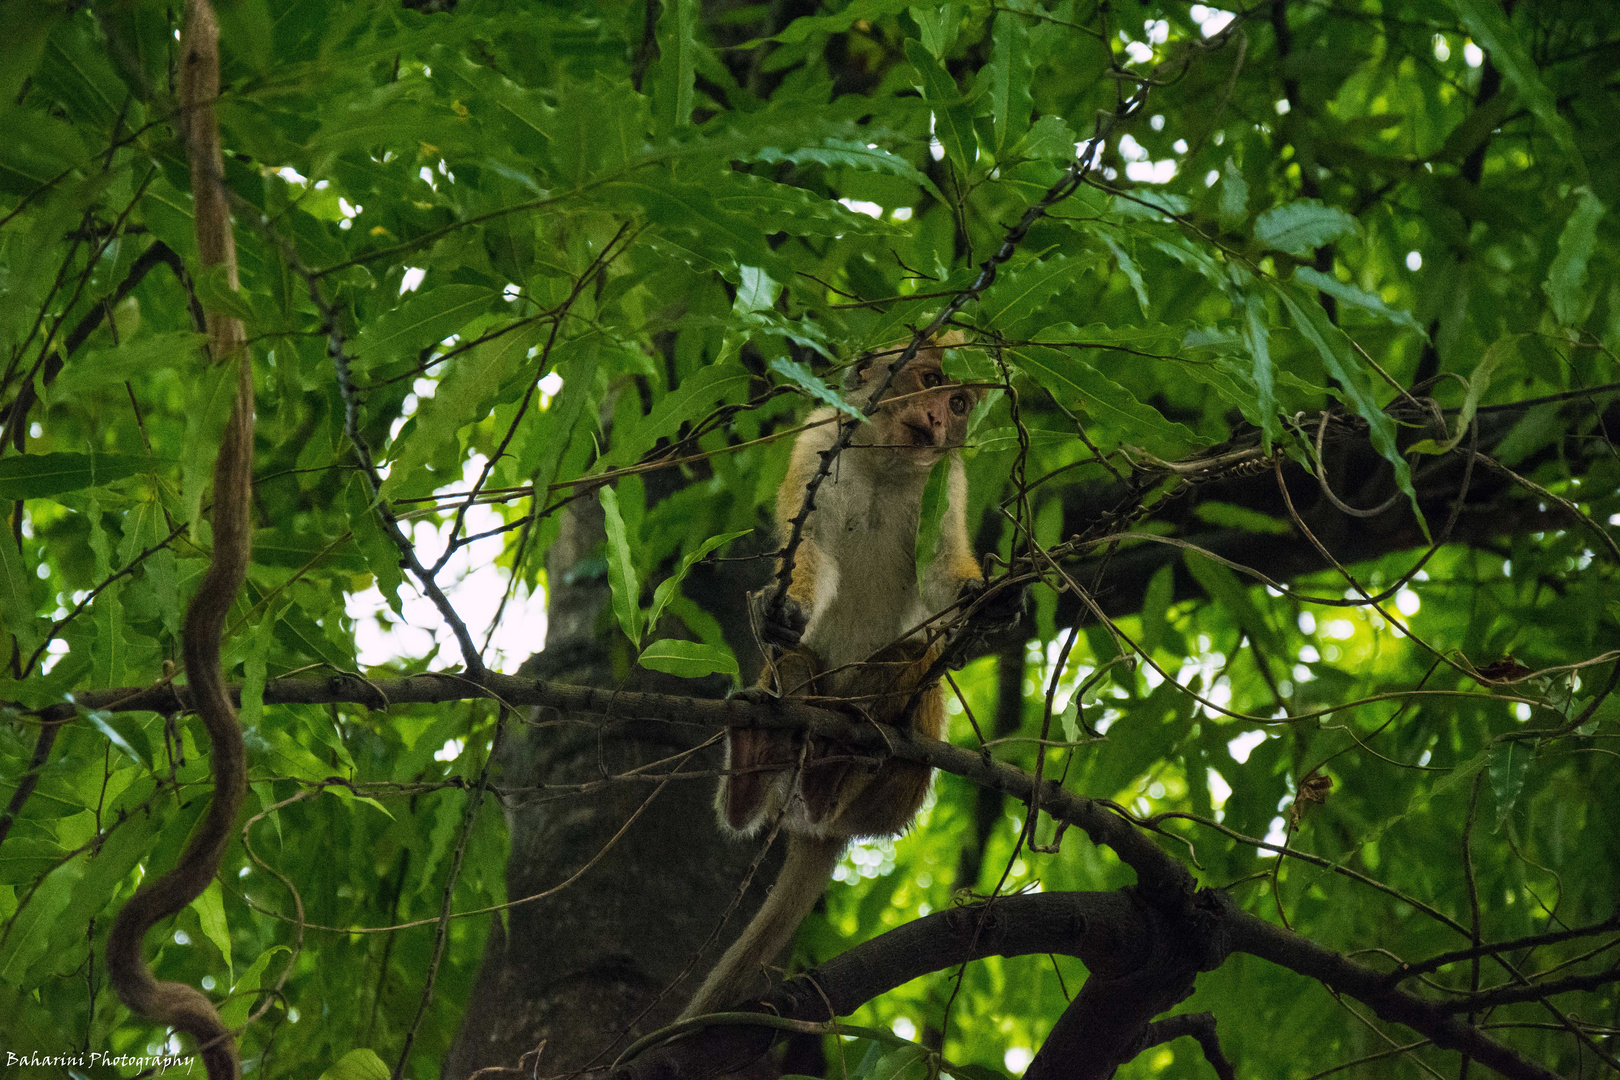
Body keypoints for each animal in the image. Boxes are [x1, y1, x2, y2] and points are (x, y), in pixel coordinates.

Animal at [673, 335, 997, 1023]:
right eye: (929, 382)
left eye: (959, 402)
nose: (939, 420)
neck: (886, 464)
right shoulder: (820, 438)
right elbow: (809, 548)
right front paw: (783, 608)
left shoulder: (946, 477)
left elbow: (940, 574)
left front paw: (986, 604)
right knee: (794, 664)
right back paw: (764, 751)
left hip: (899, 793)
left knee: (919, 655)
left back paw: (844, 750)